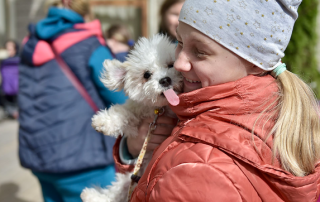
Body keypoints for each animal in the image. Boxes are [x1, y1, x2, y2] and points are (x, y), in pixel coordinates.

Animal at [80, 34, 182, 202]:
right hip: (127, 180)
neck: (159, 110)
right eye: (146, 75)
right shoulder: (136, 115)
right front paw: (103, 121)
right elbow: (123, 113)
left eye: (171, 65)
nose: (165, 80)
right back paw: (90, 195)